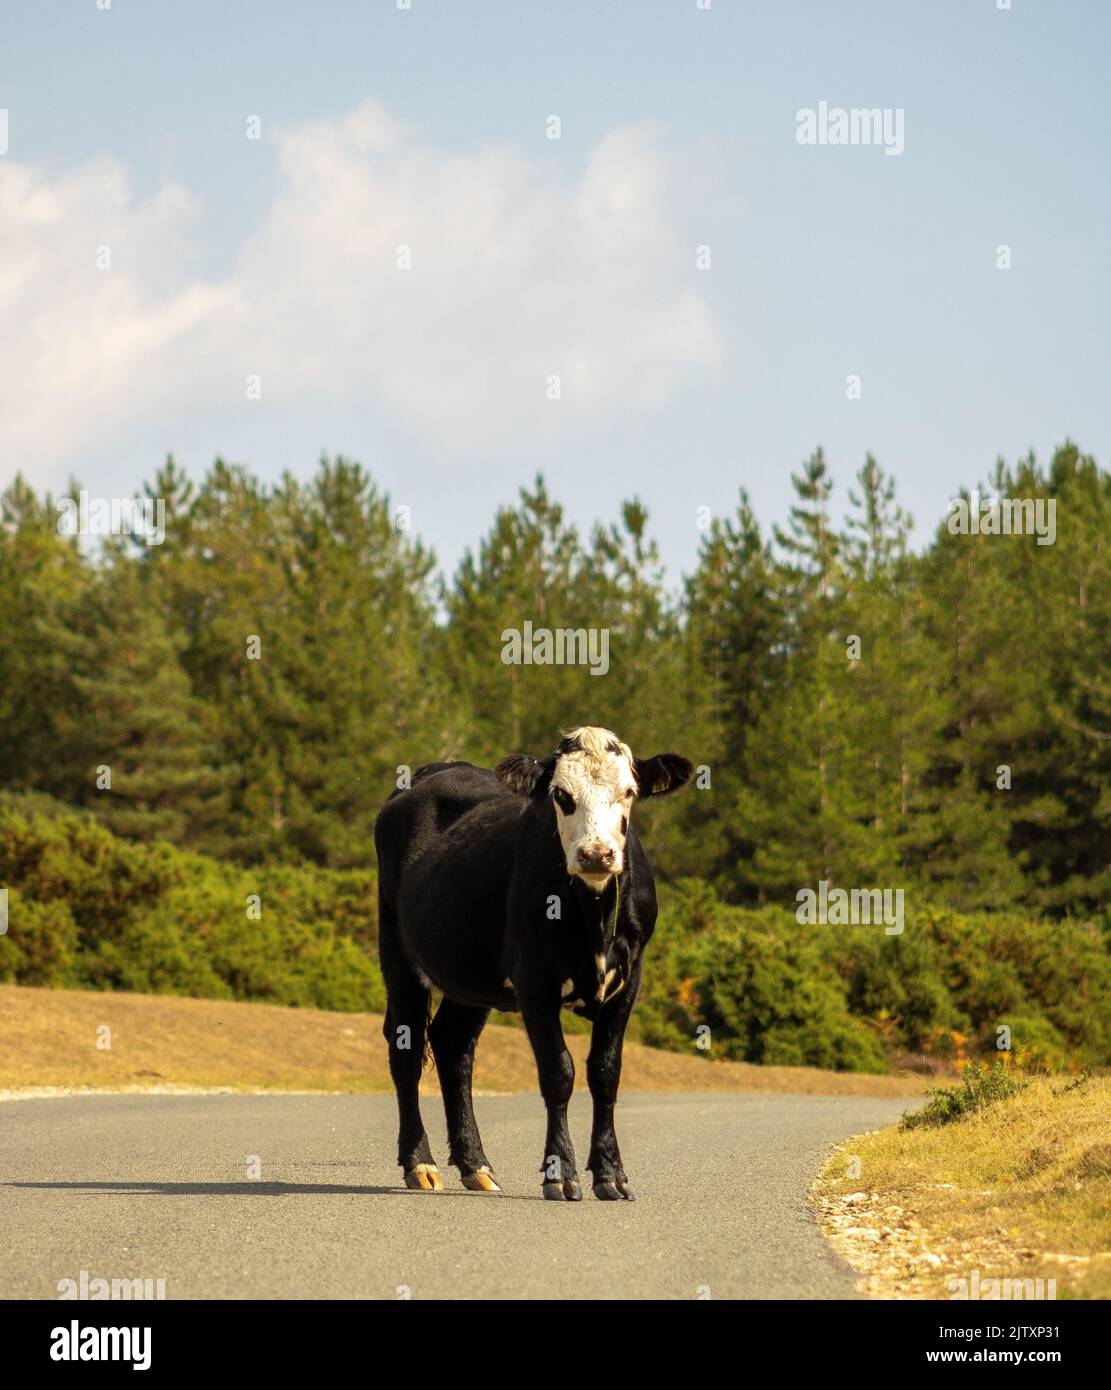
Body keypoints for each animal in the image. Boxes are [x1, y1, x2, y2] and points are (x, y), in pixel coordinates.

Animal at [374, 725, 693, 1201]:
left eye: (629, 792)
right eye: (561, 795)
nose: (596, 854)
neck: (594, 919)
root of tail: (435, 770)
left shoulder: (629, 980)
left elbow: (605, 1072)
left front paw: (611, 1174)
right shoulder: (533, 980)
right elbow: (558, 1072)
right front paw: (560, 1174)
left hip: (471, 974)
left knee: (453, 1046)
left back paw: (476, 1165)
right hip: (396, 950)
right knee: (407, 1050)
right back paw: (420, 1163)